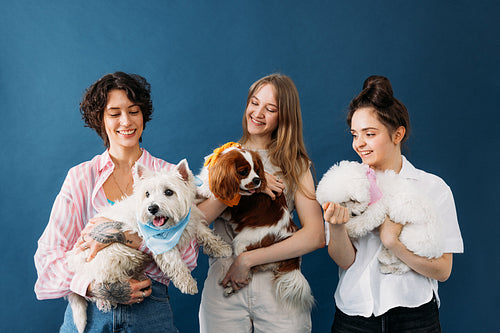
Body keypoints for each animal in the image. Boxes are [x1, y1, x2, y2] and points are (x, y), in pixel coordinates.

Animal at [64, 158, 232, 332]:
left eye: (169, 192)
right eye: (147, 194)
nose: (152, 208)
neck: (171, 226)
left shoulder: (191, 221)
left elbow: (206, 234)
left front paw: (222, 248)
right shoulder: (161, 245)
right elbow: (177, 263)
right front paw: (188, 284)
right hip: (108, 259)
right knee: (98, 279)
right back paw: (106, 299)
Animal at [198, 145, 312, 312]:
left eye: (257, 170)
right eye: (243, 171)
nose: (258, 180)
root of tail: (287, 233)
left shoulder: (229, 207)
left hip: (243, 243)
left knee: (249, 271)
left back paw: (230, 287)